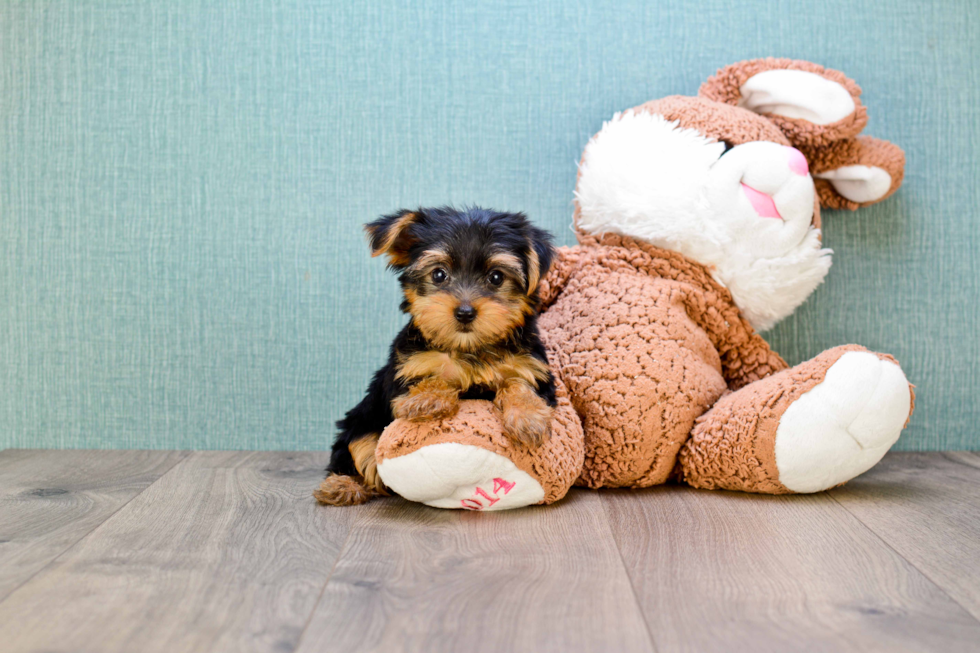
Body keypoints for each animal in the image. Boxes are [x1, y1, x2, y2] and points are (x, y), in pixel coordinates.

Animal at [318, 206, 556, 506]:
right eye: (439, 275)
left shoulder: (533, 370)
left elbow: (518, 382)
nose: (465, 312)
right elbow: (433, 380)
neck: (469, 348)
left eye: (496, 277)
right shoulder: (403, 378)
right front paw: (426, 399)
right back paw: (342, 485)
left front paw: (527, 417)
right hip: (362, 422)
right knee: (356, 450)